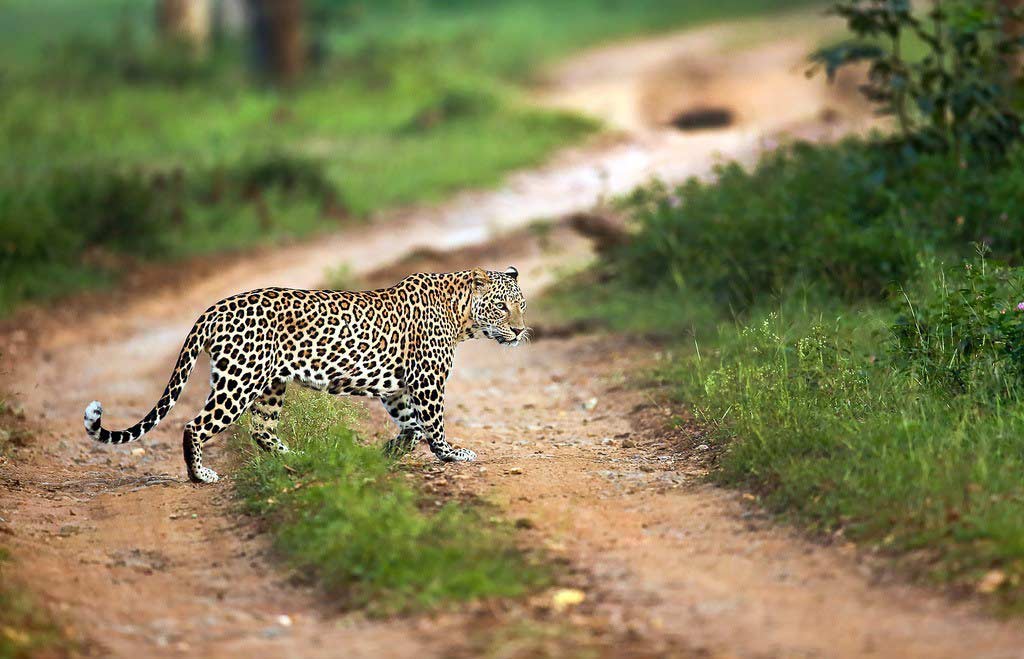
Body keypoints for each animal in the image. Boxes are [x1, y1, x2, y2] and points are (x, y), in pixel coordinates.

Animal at [82, 266, 528, 480]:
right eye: (502, 307)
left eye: (522, 305)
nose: (521, 331)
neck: (461, 314)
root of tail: (213, 308)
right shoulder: (427, 380)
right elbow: (432, 424)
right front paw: (452, 453)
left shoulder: (398, 388)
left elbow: (412, 428)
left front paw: (385, 454)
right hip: (239, 381)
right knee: (195, 425)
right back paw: (201, 475)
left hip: (270, 385)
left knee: (261, 430)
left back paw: (299, 460)